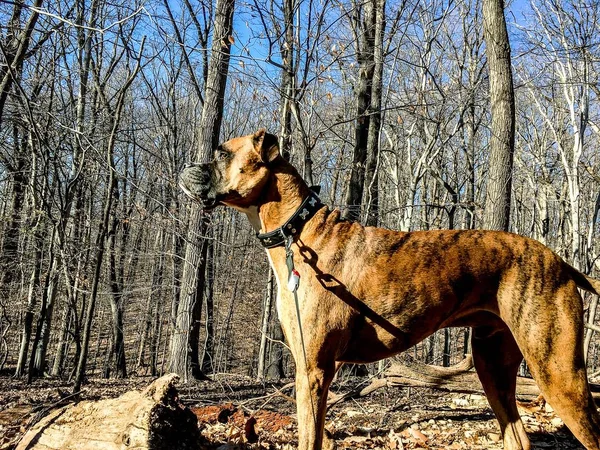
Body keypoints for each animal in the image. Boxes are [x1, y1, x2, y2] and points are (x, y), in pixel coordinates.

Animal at [180, 127, 600, 450]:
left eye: (222, 153)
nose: (186, 167)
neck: (298, 231)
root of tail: (561, 262)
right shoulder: (313, 372)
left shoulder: (313, 371)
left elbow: (308, 436)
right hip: (493, 368)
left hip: (559, 375)